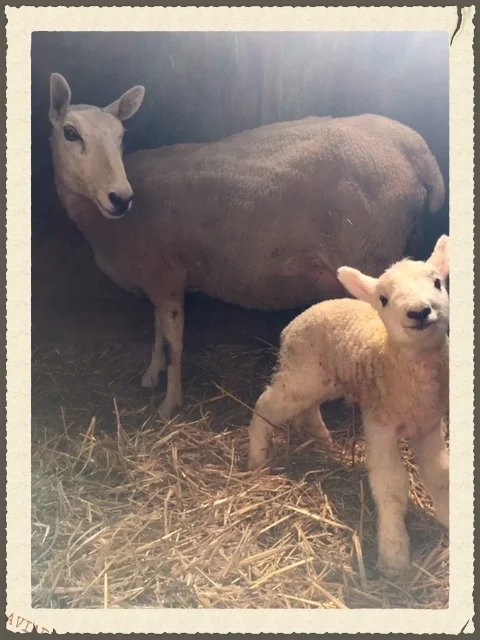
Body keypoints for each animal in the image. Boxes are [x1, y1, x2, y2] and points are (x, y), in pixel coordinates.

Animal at [48, 72, 445, 420]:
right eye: (70, 133)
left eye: (120, 136)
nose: (120, 197)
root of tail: (417, 147)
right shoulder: (157, 277)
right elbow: (158, 332)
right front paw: (151, 376)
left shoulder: (166, 275)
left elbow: (174, 342)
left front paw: (169, 404)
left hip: (371, 255)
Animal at [247, 235, 450, 576]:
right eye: (383, 299)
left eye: (437, 282)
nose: (420, 312)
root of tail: (295, 321)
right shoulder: (380, 423)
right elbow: (391, 486)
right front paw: (394, 555)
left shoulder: (430, 423)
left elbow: (439, 474)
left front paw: (449, 517)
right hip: (300, 374)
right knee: (267, 404)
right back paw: (257, 457)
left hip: (322, 377)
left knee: (309, 408)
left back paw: (323, 440)